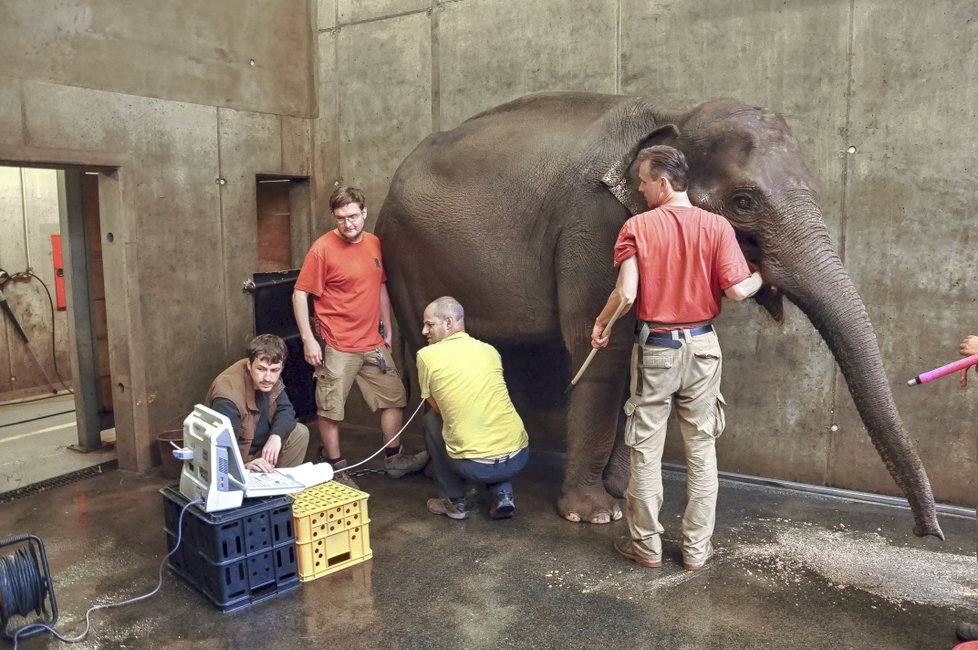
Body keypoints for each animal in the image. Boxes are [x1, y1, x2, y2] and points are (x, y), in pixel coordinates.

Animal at [374, 90, 936, 536]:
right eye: (744, 200)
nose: (926, 532)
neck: (672, 117)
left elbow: (638, 353)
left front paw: (621, 490)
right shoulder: (594, 222)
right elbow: (601, 347)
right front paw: (594, 515)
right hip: (401, 251)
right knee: (422, 344)